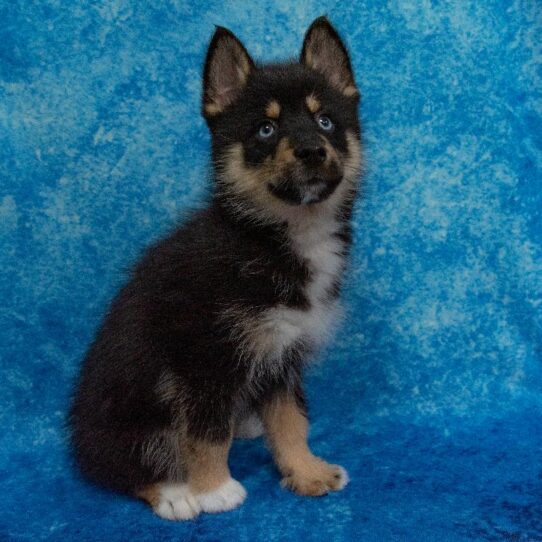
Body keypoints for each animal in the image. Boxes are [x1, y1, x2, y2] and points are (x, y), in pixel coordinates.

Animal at [70, 15, 364, 524]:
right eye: (265, 129)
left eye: (325, 120)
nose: (311, 150)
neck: (274, 235)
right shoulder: (200, 357)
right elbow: (205, 431)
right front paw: (213, 488)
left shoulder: (284, 352)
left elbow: (292, 419)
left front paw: (306, 470)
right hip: (129, 409)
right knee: (119, 464)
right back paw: (174, 492)